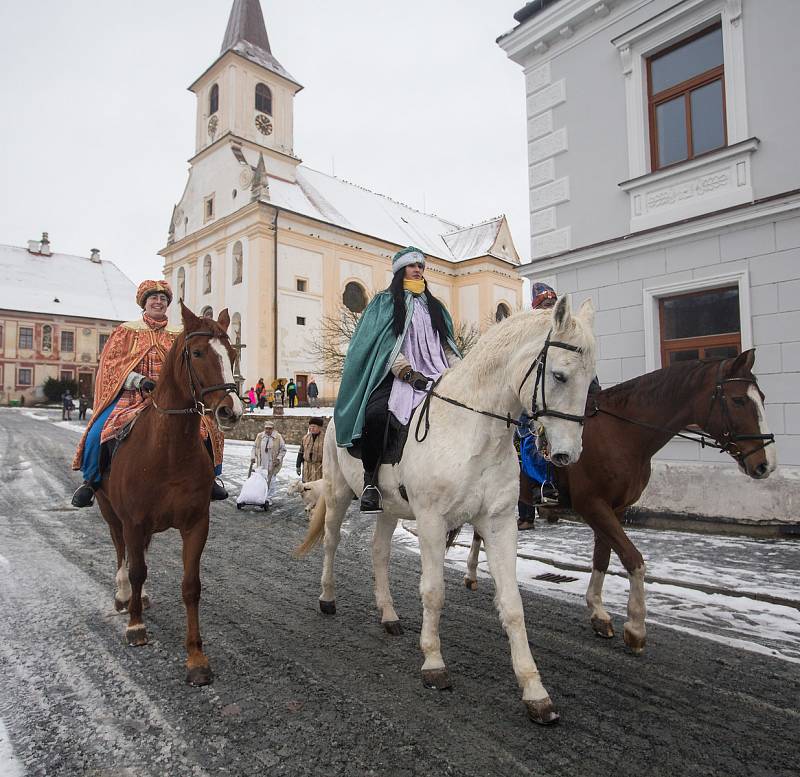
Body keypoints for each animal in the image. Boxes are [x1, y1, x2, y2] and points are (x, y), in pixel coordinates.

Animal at [95, 304, 242, 684]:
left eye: (232, 354)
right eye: (197, 352)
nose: (231, 410)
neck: (168, 452)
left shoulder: (196, 524)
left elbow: (191, 586)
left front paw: (196, 658)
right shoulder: (132, 520)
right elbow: (136, 569)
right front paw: (135, 627)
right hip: (110, 512)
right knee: (122, 552)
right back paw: (124, 596)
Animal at [294, 296, 592, 720]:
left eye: (592, 381)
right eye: (560, 375)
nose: (568, 454)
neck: (472, 429)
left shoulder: (499, 522)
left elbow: (512, 604)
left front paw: (534, 690)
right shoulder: (432, 521)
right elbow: (433, 592)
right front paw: (434, 664)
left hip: (388, 507)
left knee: (379, 552)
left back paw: (388, 615)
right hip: (337, 493)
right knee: (332, 542)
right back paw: (327, 598)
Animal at [462, 352, 776, 656]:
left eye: (762, 397)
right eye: (738, 400)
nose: (765, 465)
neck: (621, 432)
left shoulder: (614, 508)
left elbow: (602, 557)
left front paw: (598, 613)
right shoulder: (593, 505)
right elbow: (632, 558)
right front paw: (636, 628)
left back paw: (472, 573)